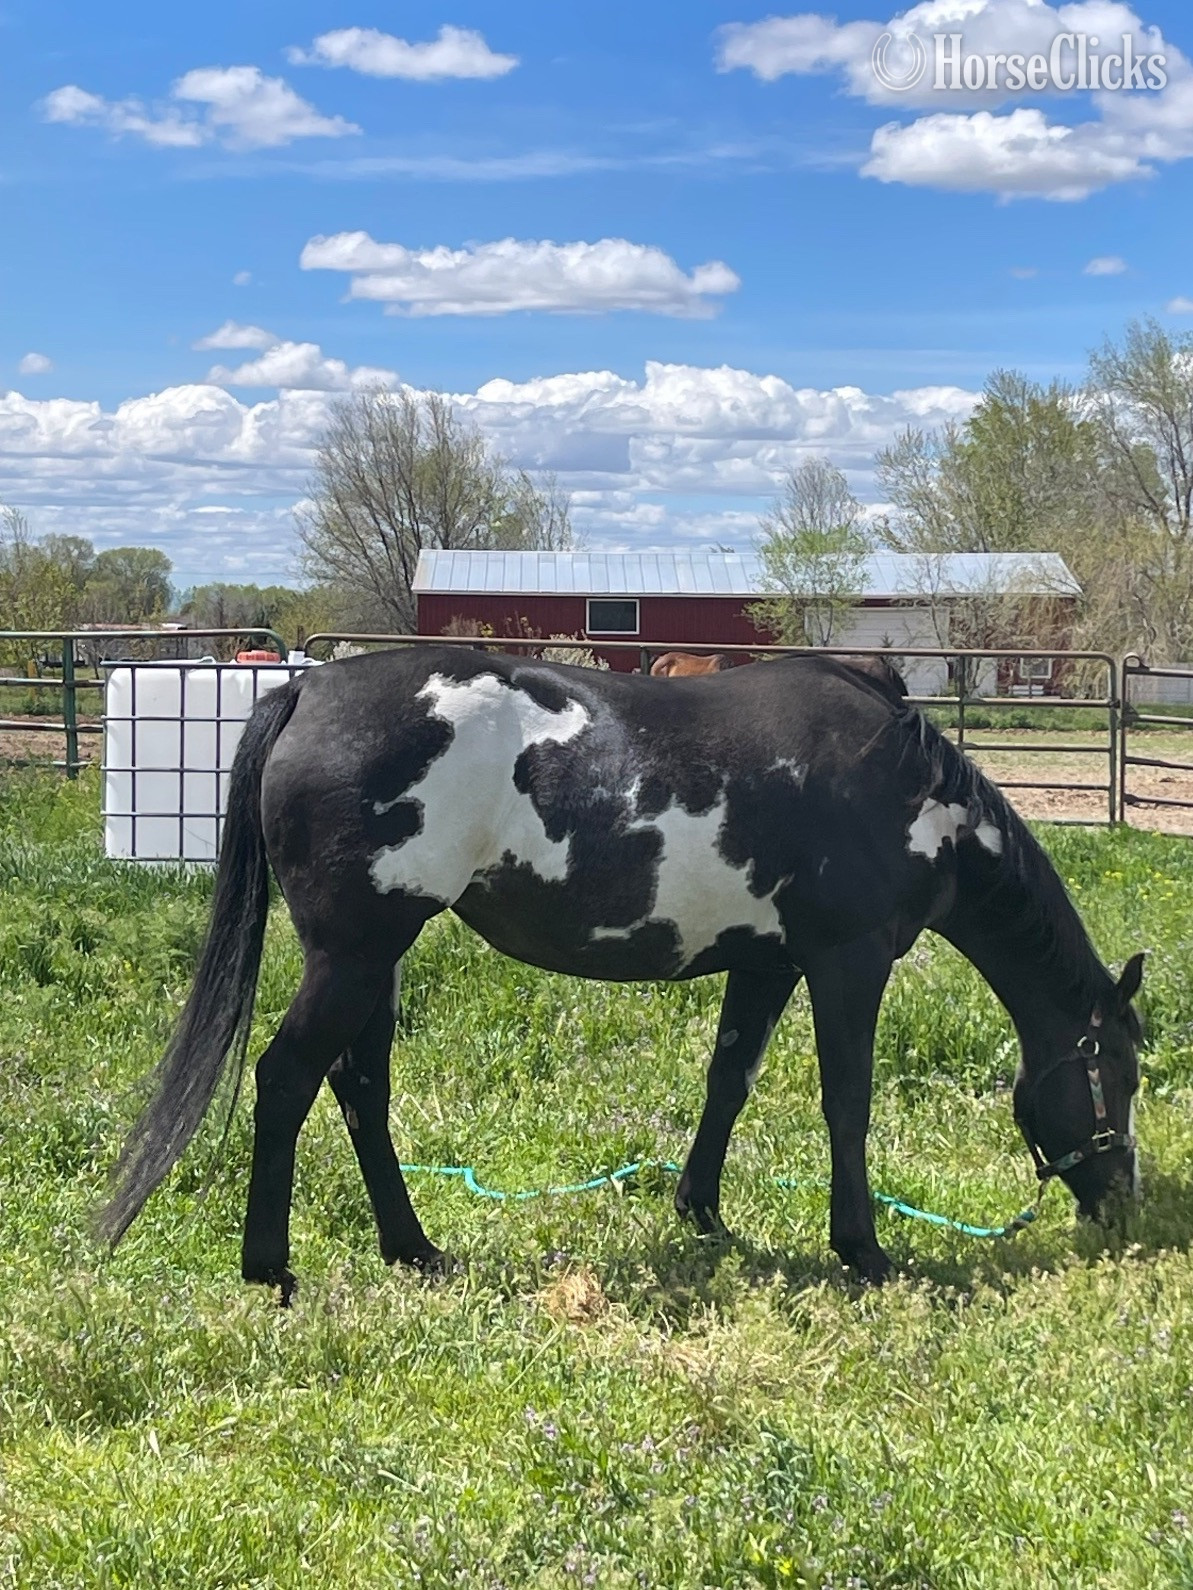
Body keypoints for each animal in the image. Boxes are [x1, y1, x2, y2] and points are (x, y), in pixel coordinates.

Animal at [99, 646, 1144, 1300]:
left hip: (373, 959)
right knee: (287, 1081)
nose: (1122, 1208)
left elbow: (729, 1080)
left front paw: (702, 1214)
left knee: (359, 1090)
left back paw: (413, 1249)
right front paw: (862, 1249)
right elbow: (846, 1100)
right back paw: (270, 1268)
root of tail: (309, 693)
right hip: (354, 954)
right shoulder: (845, 963)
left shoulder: (766, 964)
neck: (899, 785)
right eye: (1118, 1078)